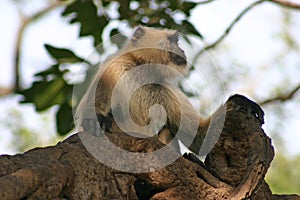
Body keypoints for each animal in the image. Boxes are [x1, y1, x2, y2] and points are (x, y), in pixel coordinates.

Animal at [75, 25, 223, 155]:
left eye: (177, 42)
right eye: (172, 41)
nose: (182, 51)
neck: (142, 71)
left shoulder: (165, 88)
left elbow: (200, 140)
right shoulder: (112, 68)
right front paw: (94, 121)